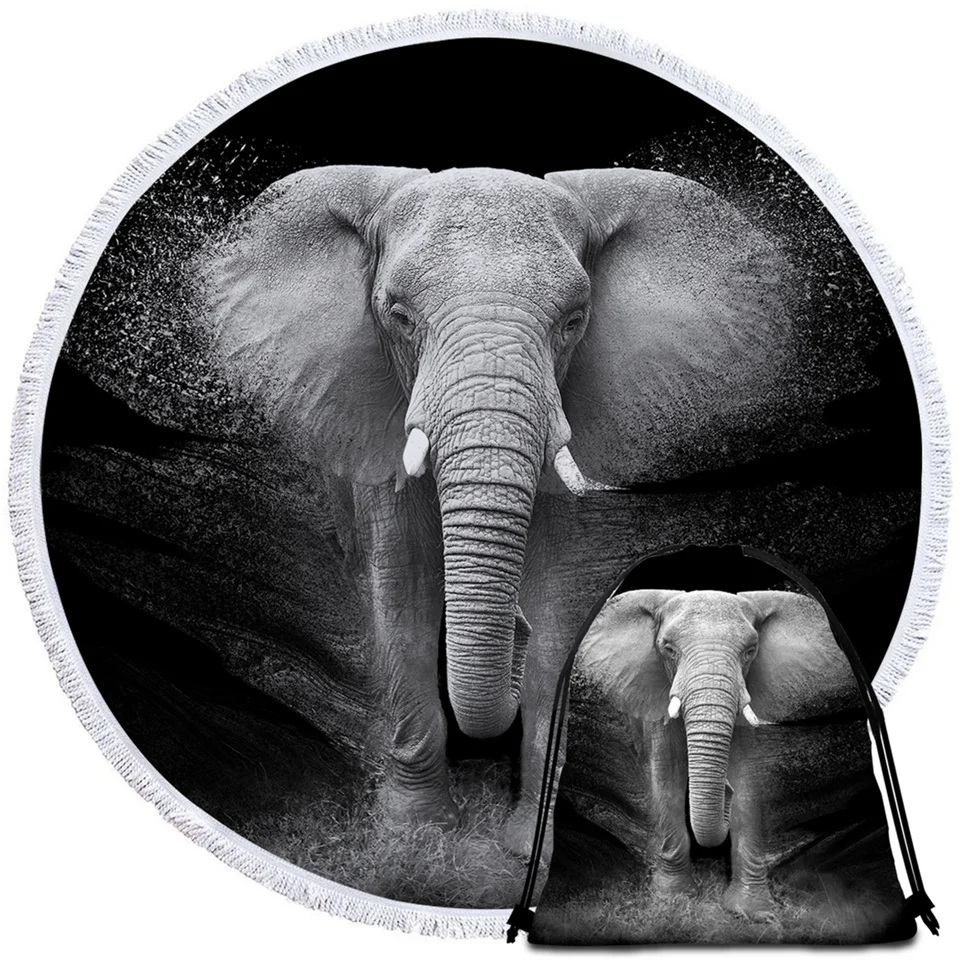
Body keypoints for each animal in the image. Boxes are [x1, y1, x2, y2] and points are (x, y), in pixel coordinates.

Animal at [199, 164, 791, 844]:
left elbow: (562, 616)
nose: (515, 625)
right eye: (398, 316)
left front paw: (522, 846)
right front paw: (418, 833)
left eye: (574, 320)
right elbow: (403, 587)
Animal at [556, 588, 902, 929]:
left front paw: (755, 913)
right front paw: (674, 899)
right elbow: (667, 775)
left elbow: (747, 783)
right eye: (668, 648)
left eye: (750, 650)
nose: (725, 791)